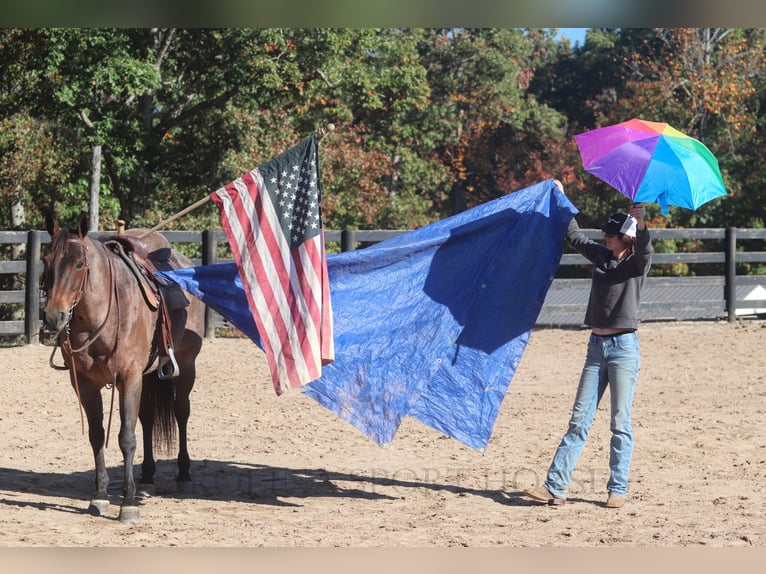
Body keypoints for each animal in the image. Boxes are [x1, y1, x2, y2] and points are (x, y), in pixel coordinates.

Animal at [43, 214, 206, 524]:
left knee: (181, 412)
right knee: (148, 417)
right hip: (148, 376)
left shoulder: (129, 378)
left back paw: (184, 474)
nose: (53, 316)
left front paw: (127, 503)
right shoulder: (85, 383)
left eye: (79, 263)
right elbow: (97, 435)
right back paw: (147, 477)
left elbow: (126, 438)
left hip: (186, 366)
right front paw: (100, 496)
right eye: (46, 260)